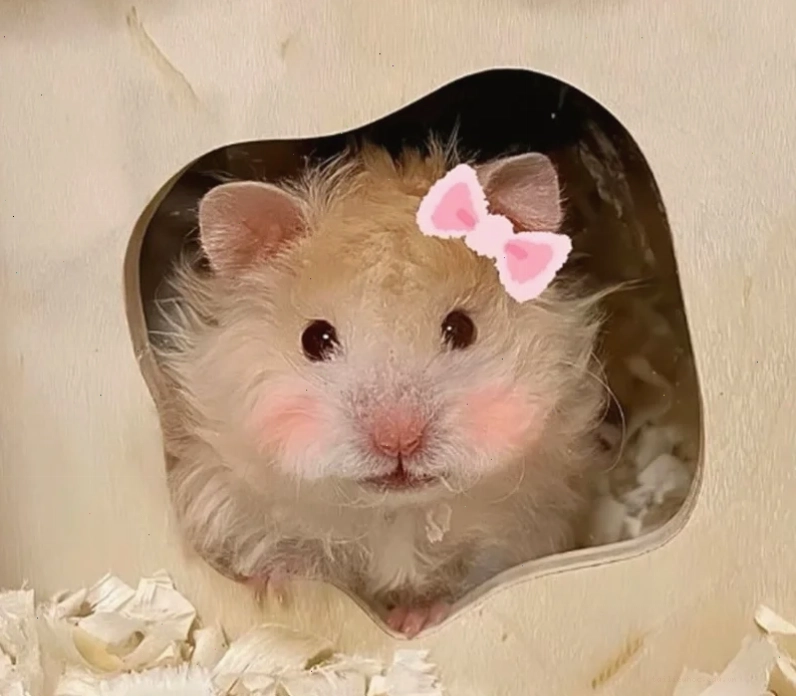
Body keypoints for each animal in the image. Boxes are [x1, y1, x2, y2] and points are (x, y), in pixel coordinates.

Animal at [156, 139, 608, 638]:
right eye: (315, 338)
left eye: (461, 327)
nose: (399, 440)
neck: (392, 512)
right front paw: (275, 588)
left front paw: (413, 620)